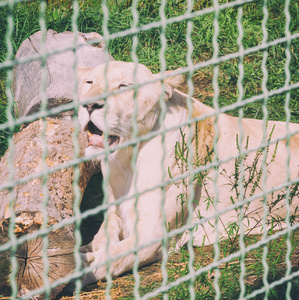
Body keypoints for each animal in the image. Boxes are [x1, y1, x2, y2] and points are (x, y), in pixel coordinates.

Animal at [78, 60, 299, 286]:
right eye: (89, 82)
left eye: (124, 86)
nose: (89, 105)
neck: (125, 162)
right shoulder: (115, 214)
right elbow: (99, 240)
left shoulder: (154, 235)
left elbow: (110, 258)